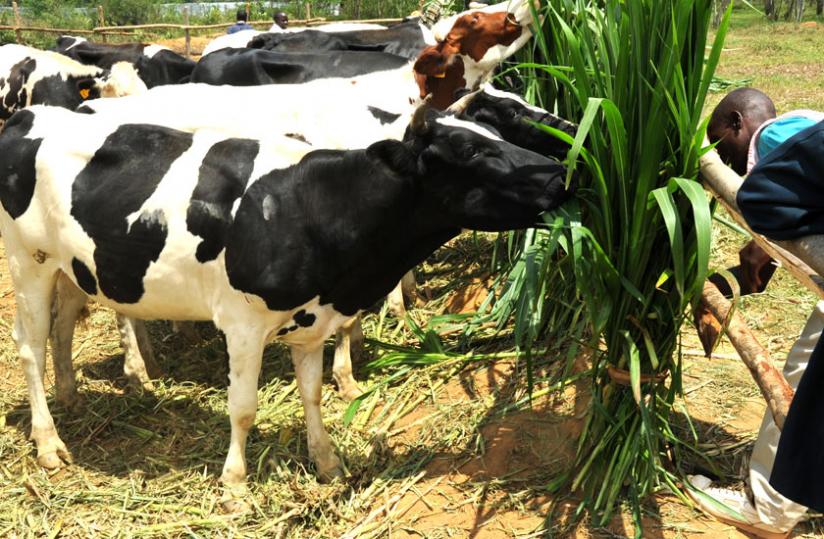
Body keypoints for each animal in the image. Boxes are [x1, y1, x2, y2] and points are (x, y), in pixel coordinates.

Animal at [0, 102, 574, 509]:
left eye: (497, 134)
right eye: (469, 150)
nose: (561, 175)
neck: (312, 207)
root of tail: (30, 113)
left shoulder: (313, 321)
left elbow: (313, 395)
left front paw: (327, 462)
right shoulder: (242, 323)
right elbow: (243, 408)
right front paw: (234, 486)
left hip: (75, 266)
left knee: (63, 327)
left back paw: (72, 397)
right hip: (28, 261)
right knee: (29, 345)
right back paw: (49, 444)